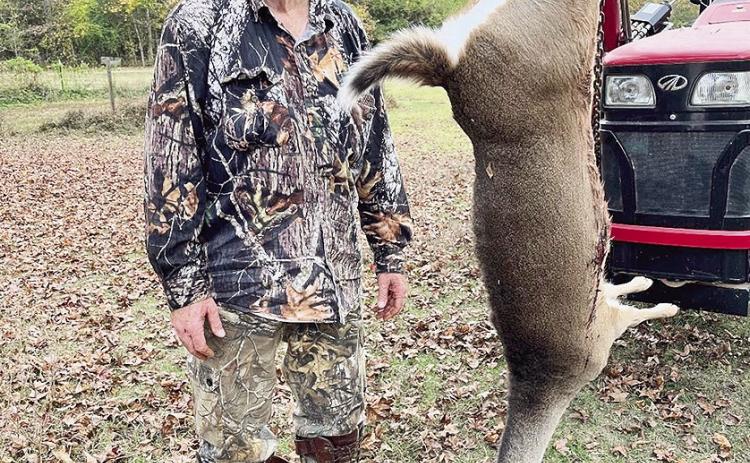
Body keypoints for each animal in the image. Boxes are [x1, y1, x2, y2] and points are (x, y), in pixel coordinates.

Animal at [338, 0, 680, 461]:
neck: (547, 383)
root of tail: (451, 69)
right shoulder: (599, 340)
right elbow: (624, 300)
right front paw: (657, 295)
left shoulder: (600, 339)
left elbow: (626, 300)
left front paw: (656, 295)